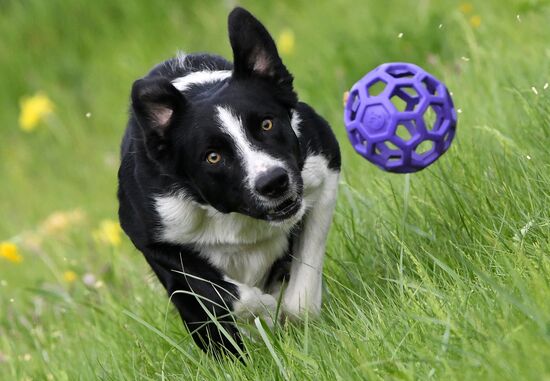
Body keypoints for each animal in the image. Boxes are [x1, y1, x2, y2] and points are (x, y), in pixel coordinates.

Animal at [117, 6, 340, 354]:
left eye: (266, 124)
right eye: (212, 157)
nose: (273, 182)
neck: (236, 215)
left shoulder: (324, 172)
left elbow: (304, 280)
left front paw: (288, 314)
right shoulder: (155, 237)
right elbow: (220, 293)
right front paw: (263, 310)